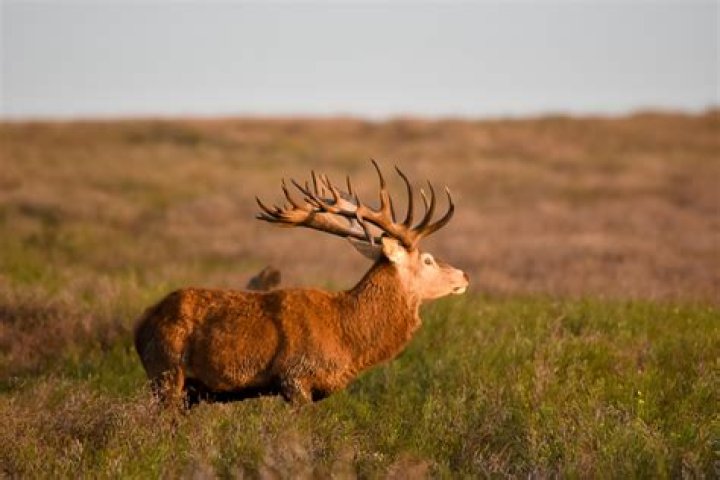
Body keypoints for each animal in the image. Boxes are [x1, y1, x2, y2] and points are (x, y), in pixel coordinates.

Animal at [134, 161, 469, 407]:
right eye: (428, 260)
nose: (464, 276)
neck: (348, 336)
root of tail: (141, 324)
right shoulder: (295, 376)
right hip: (165, 372)